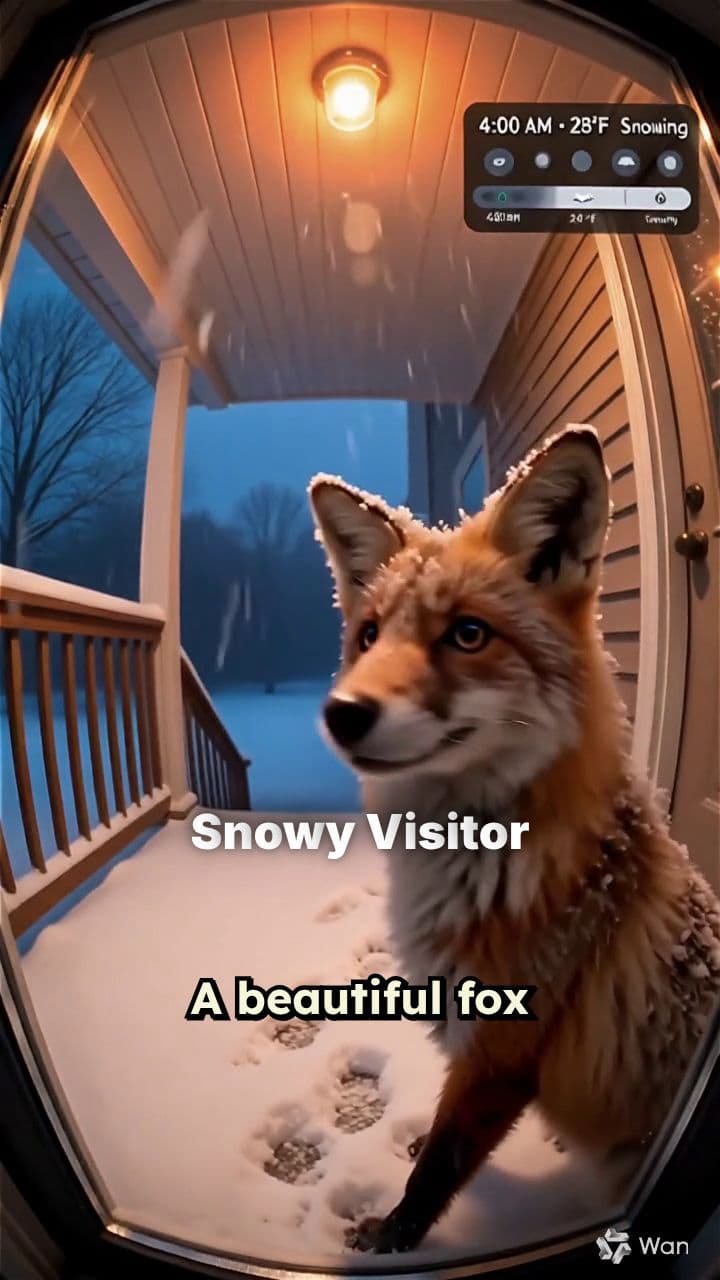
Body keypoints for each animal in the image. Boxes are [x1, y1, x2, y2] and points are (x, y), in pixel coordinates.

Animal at [308, 425, 720, 1254]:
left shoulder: (502, 1053)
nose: (343, 714)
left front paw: (392, 1244)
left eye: (468, 634)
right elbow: (435, 1142)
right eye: (367, 635)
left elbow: (437, 1167)